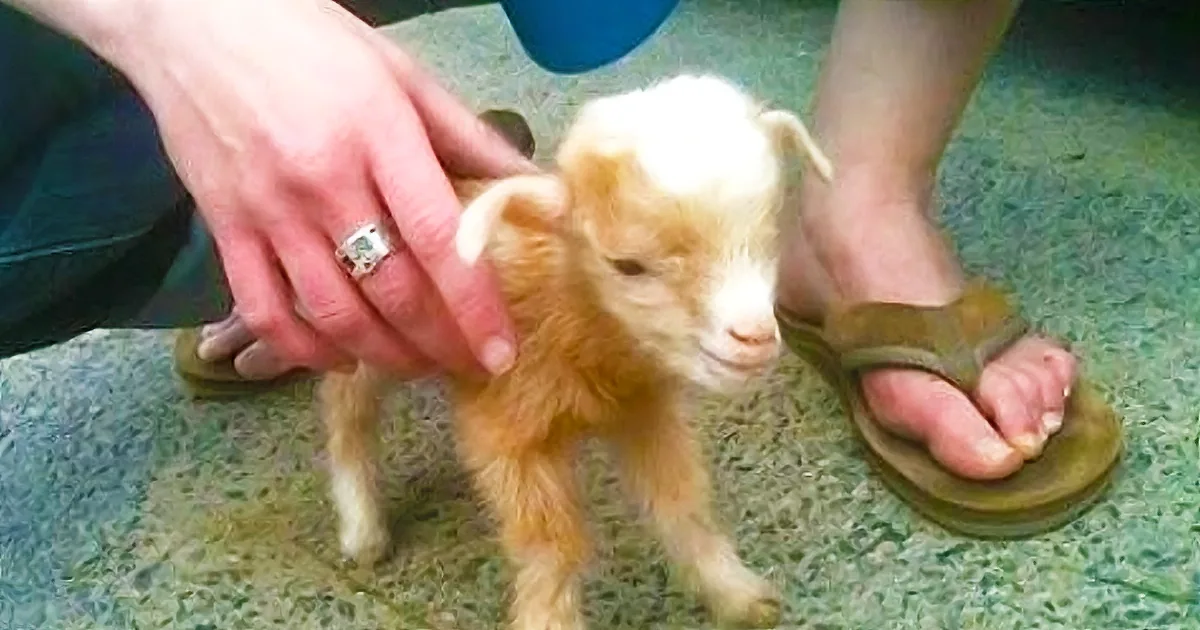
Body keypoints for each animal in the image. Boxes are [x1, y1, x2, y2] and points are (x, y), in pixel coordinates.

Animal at [317, 73, 833, 630]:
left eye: (770, 237)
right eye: (627, 265)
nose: (753, 339)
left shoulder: (645, 408)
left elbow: (681, 502)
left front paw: (735, 593)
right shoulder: (507, 428)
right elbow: (554, 548)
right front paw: (548, 617)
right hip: (369, 339)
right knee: (347, 412)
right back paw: (362, 530)